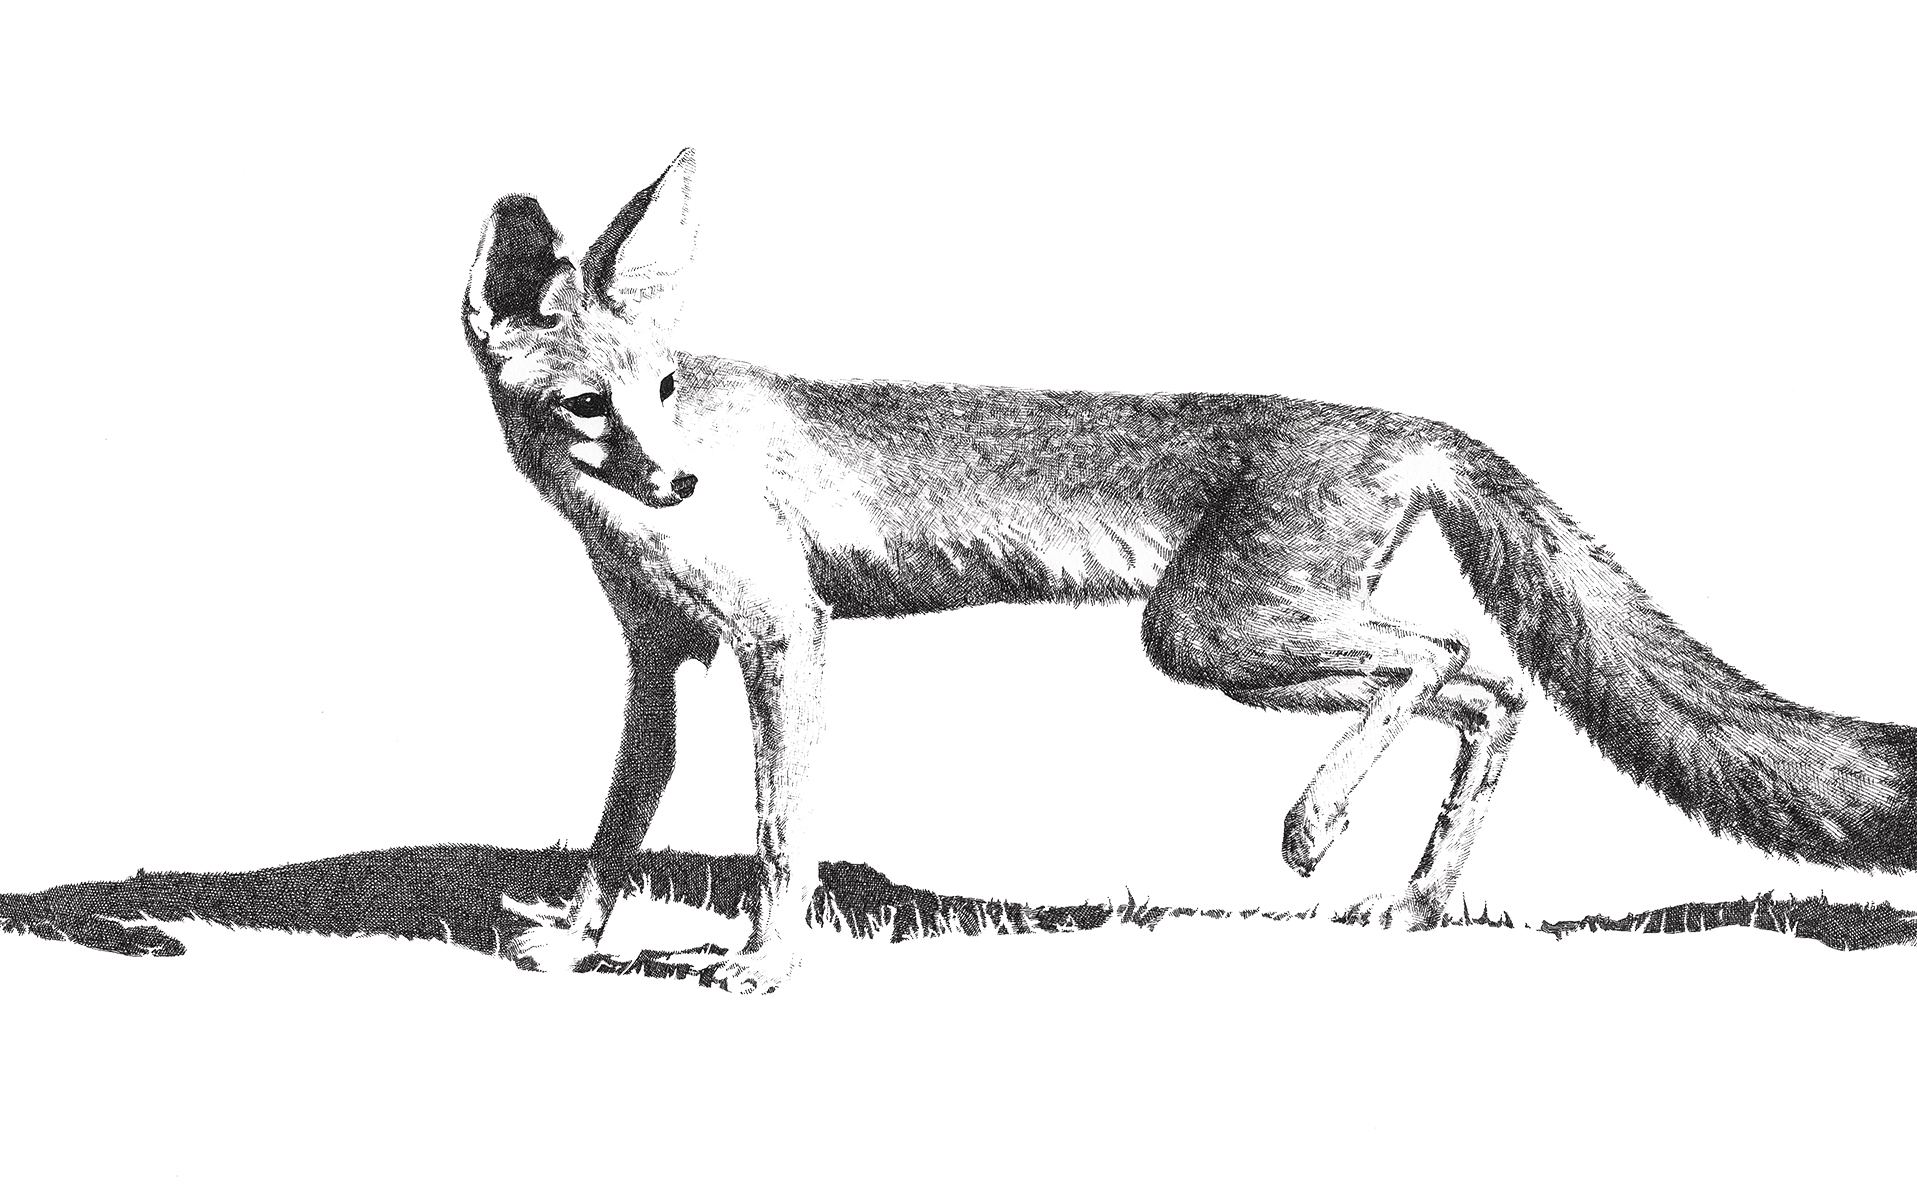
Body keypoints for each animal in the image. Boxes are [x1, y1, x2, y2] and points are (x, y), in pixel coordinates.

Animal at [463, 147, 1917, 994]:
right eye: (590, 404)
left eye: (662, 390)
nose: (678, 480)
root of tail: (1406, 424)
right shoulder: (660, 660)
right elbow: (616, 825)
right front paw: (575, 942)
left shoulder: (786, 637)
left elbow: (779, 828)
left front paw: (765, 961)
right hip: (1251, 647)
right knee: (1494, 689)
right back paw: (1415, 900)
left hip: (1209, 635)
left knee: (1448, 655)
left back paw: (1316, 829)